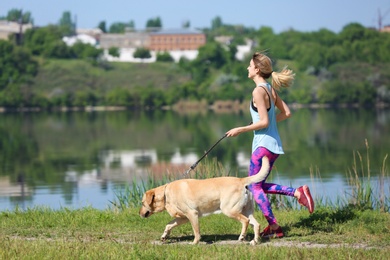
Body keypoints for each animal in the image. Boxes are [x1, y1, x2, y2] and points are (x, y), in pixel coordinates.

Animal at [140, 156, 272, 246]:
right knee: (256, 224)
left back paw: (242, 237)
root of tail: (241, 180)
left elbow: (196, 231)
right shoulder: (183, 217)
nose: (139, 213)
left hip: (229, 209)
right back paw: (254, 241)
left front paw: (194, 243)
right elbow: (169, 224)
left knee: (245, 221)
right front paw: (164, 236)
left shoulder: (192, 214)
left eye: (142, 203)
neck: (166, 194)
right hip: (246, 210)